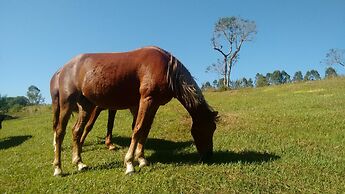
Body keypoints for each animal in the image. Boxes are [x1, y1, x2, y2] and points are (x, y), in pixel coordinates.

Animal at [51, 46, 218, 176]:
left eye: (213, 129)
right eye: (205, 129)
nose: (209, 155)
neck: (168, 69)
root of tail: (64, 68)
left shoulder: (154, 104)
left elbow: (145, 130)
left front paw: (142, 159)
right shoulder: (147, 99)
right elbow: (137, 129)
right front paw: (130, 163)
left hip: (86, 106)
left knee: (76, 131)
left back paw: (79, 163)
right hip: (66, 103)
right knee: (60, 132)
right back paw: (58, 168)